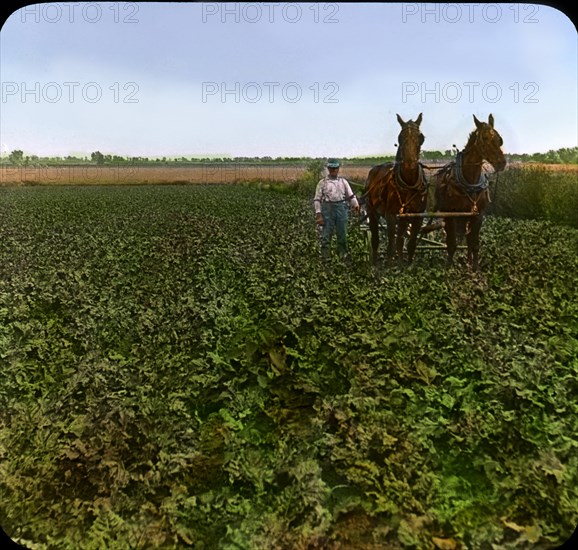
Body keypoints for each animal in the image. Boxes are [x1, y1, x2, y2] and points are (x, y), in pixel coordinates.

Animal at [362, 113, 426, 266]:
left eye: (421, 137)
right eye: (399, 137)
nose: (409, 164)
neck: (408, 185)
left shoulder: (417, 216)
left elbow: (410, 243)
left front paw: (407, 266)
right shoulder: (390, 215)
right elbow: (390, 244)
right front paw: (390, 266)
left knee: (400, 240)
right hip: (372, 211)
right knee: (375, 239)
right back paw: (375, 264)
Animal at [432, 115, 504, 272]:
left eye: (499, 138)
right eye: (484, 137)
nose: (502, 163)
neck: (470, 182)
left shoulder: (478, 215)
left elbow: (473, 241)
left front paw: (474, 266)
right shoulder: (450, 214)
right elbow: (451, 241)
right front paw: (449, 265)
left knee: (468, 236)